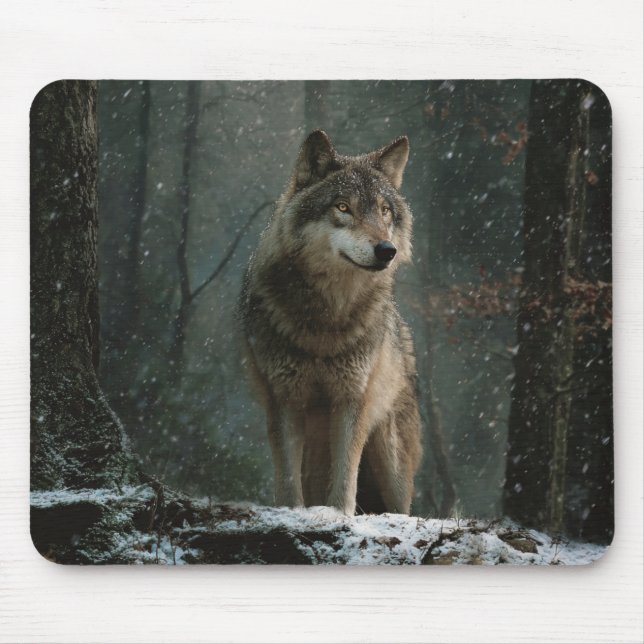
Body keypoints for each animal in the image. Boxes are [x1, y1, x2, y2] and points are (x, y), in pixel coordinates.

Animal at [239, 130, 422, 515]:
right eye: (342, 207)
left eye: (384, 211)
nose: (387, 250)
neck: (326, 321)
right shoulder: (284, 400)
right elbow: (287, 482)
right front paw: (295, 514)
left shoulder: (352, 400)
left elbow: (345, 479)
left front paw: (339, 515)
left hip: (391, 460)